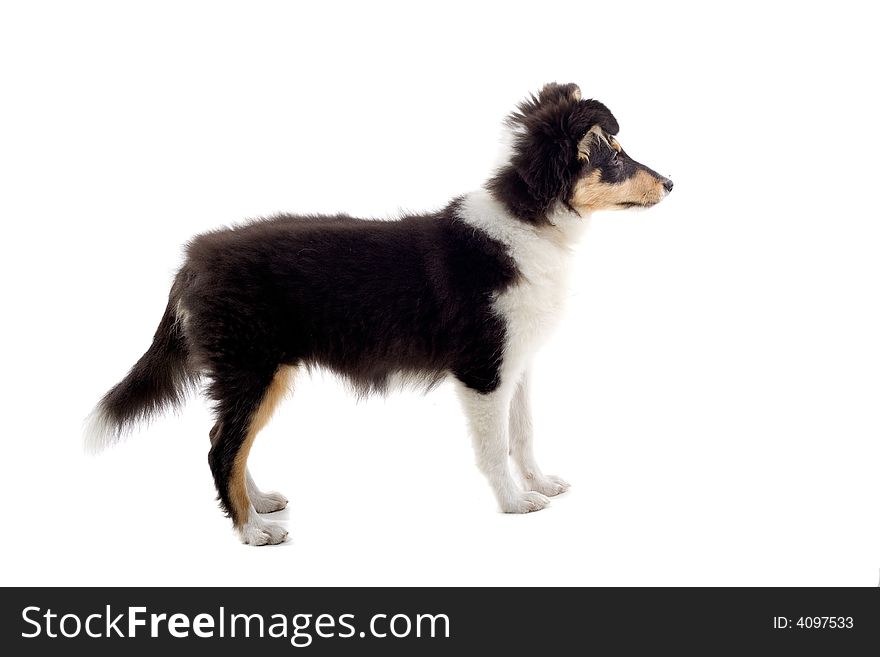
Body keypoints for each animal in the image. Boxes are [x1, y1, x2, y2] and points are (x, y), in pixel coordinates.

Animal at [84, 82, 672, 544]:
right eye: (615, 158)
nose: (671, 183)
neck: (530, 220)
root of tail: (191, 262)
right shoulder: (482, 368)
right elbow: (493, 444)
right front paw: (515, 504)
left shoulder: (518, 361)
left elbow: (523, 433)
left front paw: (541, 483)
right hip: (251, 366)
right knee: (221, 448)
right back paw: (253, 530)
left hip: (261, 370)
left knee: (223, 440)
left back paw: (259, 504)